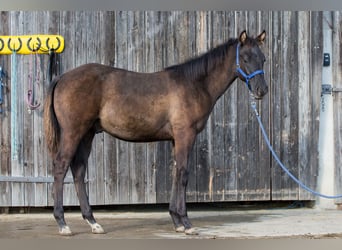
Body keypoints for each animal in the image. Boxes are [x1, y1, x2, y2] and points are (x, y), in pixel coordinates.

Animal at [43, 30, 268, 235]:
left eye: (263, 59)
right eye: (245, 58)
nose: (262, 90)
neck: (194, 84)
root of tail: (61, 77)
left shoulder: (176, 139)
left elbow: (176, 173)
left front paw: (177, 221)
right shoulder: (185, 135)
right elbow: (183, 174)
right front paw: (187, 223)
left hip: (87, 135)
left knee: (79, 171)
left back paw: (93, 222)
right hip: (73, 132)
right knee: (61, 167)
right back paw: (63, 223)